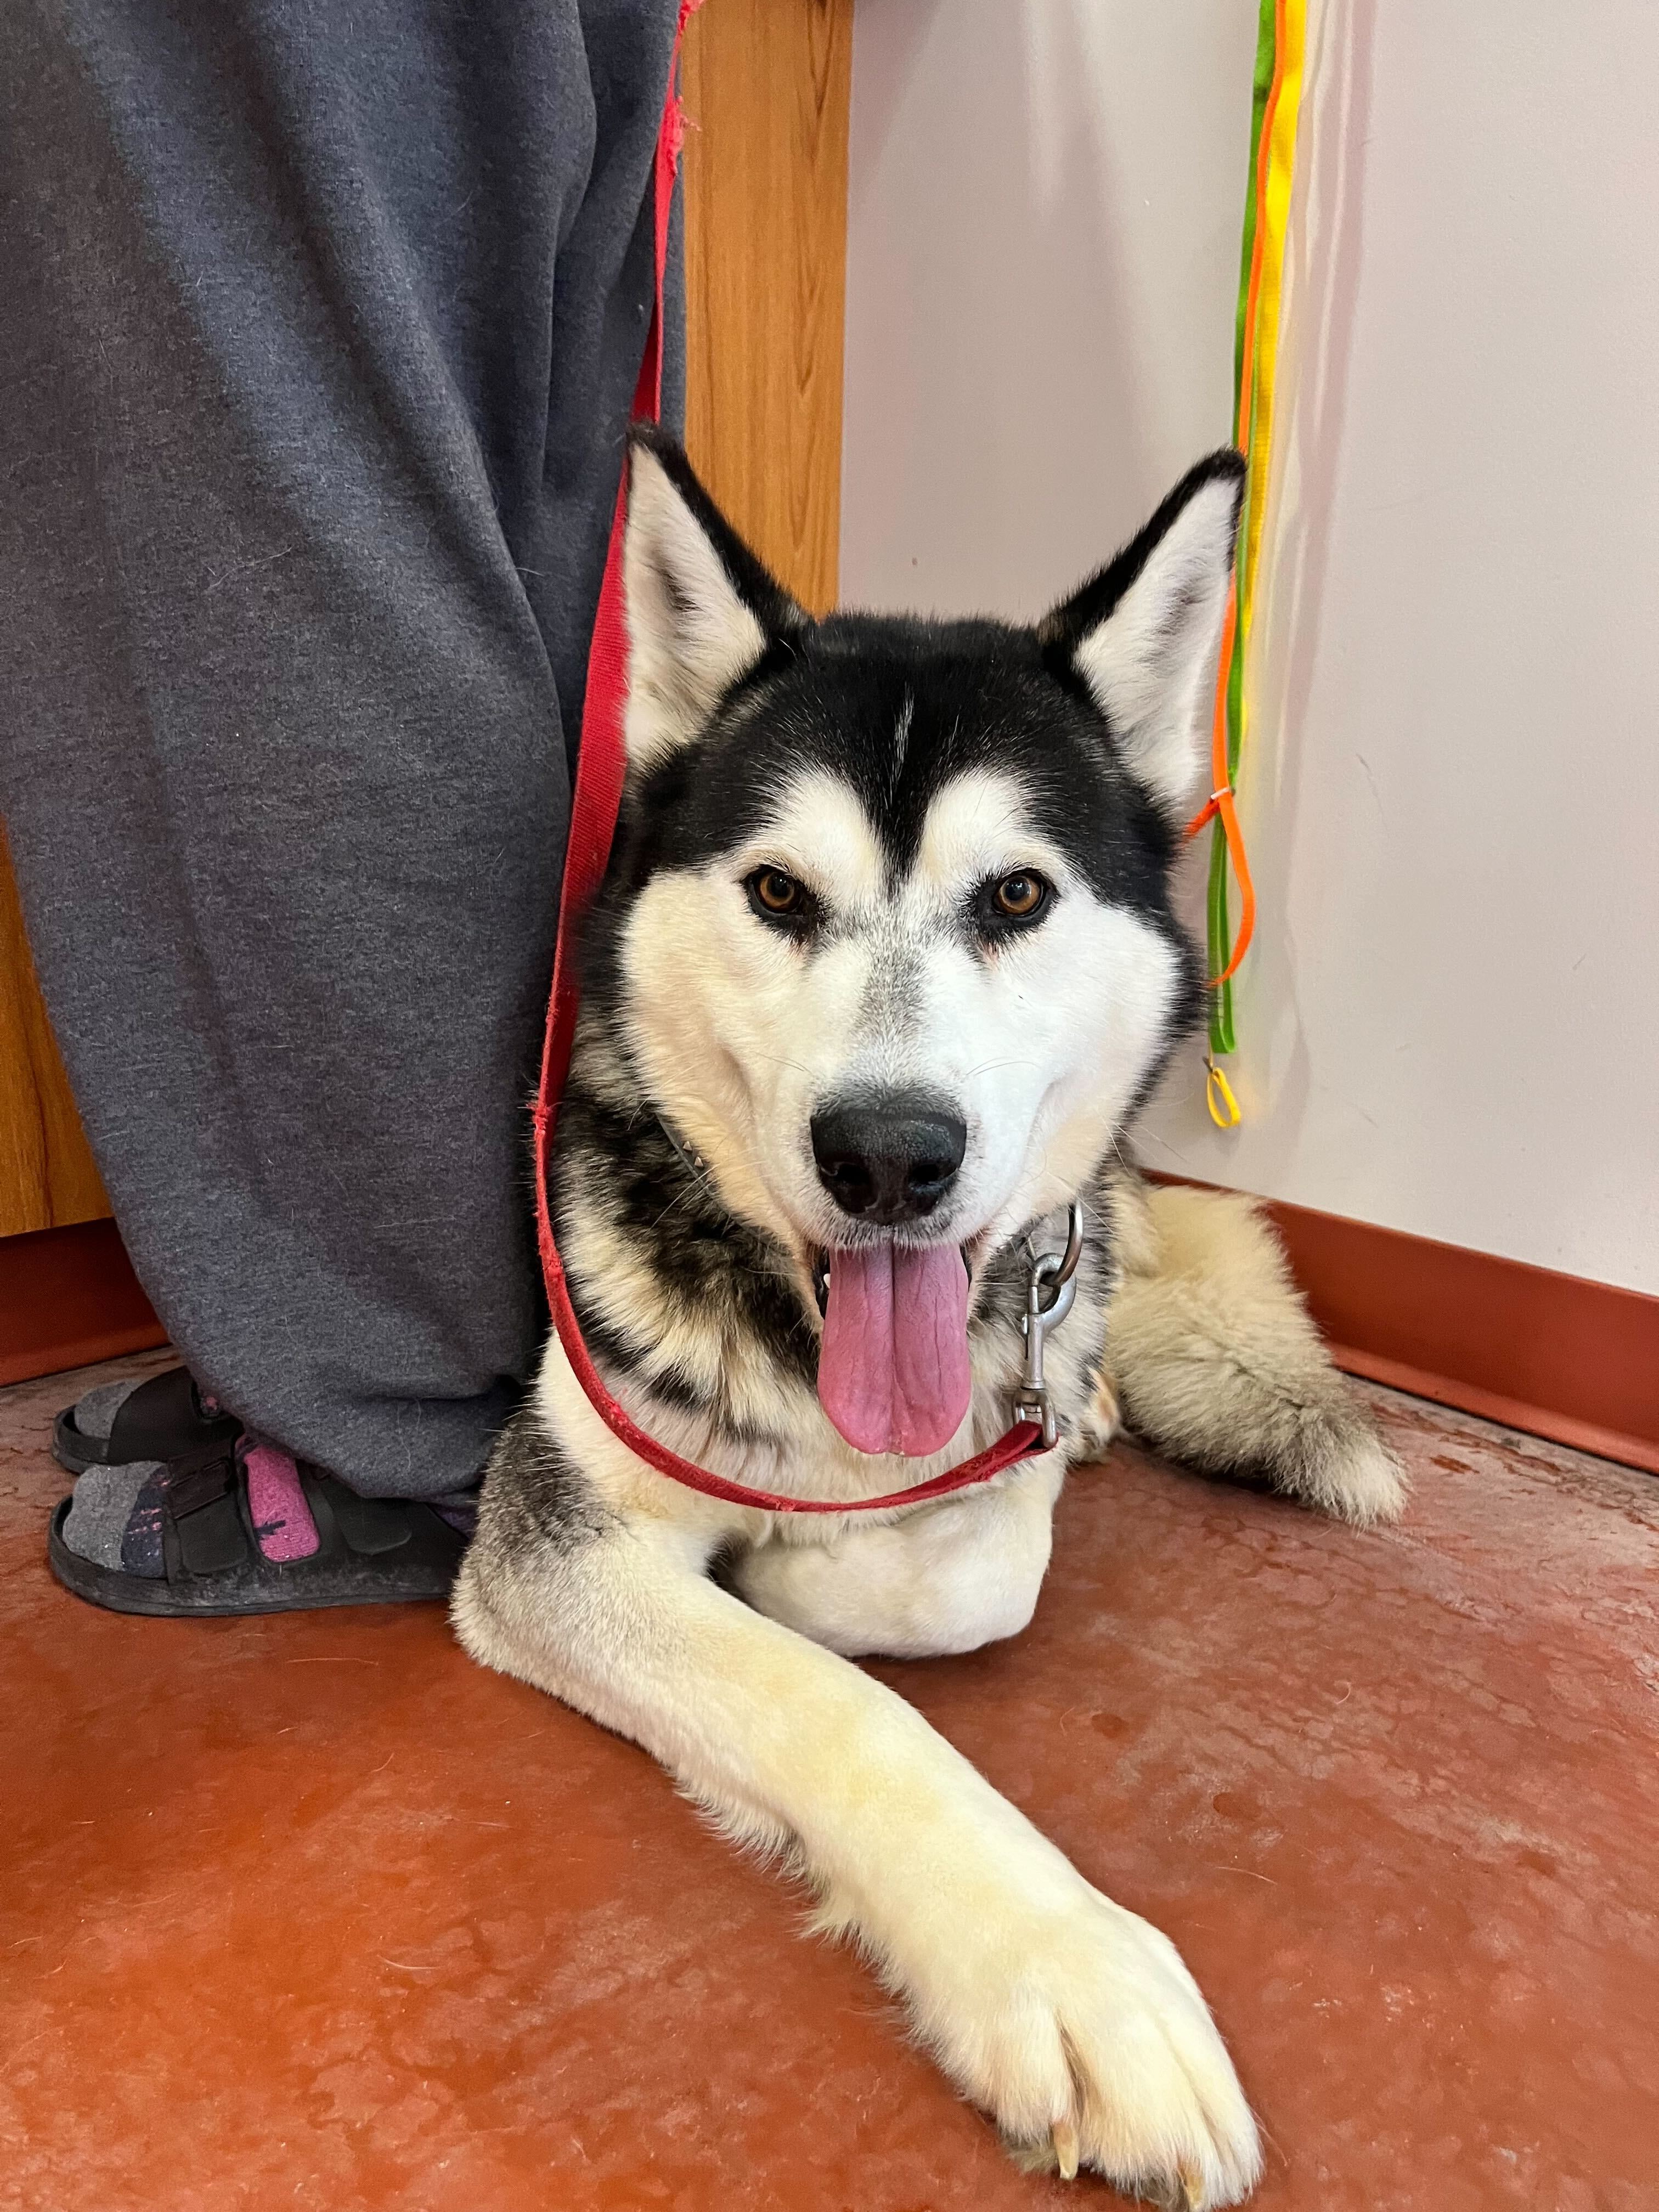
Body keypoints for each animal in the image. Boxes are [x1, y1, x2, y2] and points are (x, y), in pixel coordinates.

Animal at [462, 427, 1407, 2194]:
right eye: (778, 892)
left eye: (1017, 897)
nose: (892, 1154)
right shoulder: (559, 1529)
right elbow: (843, 1700)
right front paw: (1066, 1962)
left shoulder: (998, 1417)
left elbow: (978, 1570)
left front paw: (839, 1557)